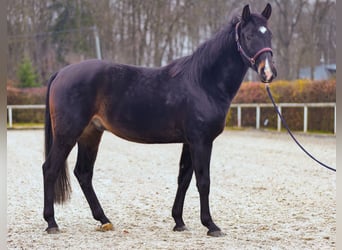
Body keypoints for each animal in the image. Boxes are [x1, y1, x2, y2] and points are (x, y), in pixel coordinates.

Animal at [43, 3, 278, 237]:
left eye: (269, 34)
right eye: (248, 36)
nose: (268, 72)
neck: (203, 82)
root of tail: (61, 73)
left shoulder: (189, 142)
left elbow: (184, 179)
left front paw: (179, 221)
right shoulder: (201, 141)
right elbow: (203, 181)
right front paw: (211, 225)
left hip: (90, 134)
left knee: (83, 173)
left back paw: (104, 220)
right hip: (67, 134)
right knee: (50, 169)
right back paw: (52, 222)